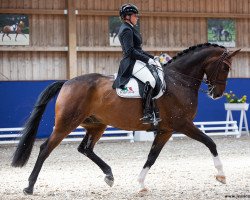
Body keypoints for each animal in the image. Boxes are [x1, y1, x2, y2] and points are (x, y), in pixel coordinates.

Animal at [11, 43, 240, 195]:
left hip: (96, 125)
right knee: (45, 149)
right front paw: (221, 175)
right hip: (66, 123)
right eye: (225, 67)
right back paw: (29, 186)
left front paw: (141, 184)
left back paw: (109, 175)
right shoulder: (183, 125)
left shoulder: (165, 130)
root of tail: (67, 82)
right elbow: (210, 142)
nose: (217, 94)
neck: (179, 81)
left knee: (85, 149)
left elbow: (152, 157)